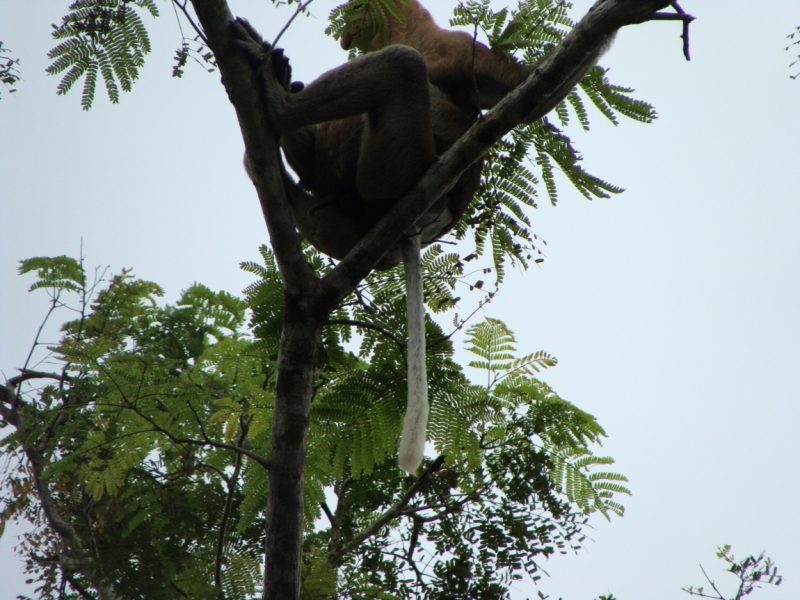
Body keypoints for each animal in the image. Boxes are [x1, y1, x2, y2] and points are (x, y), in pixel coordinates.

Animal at [228, 2, 616, 476]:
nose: (344, 36)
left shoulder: (457, 46)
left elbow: (531, 92)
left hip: (396, 165)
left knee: (402, 68)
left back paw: (276, 98)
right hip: (344, 216)